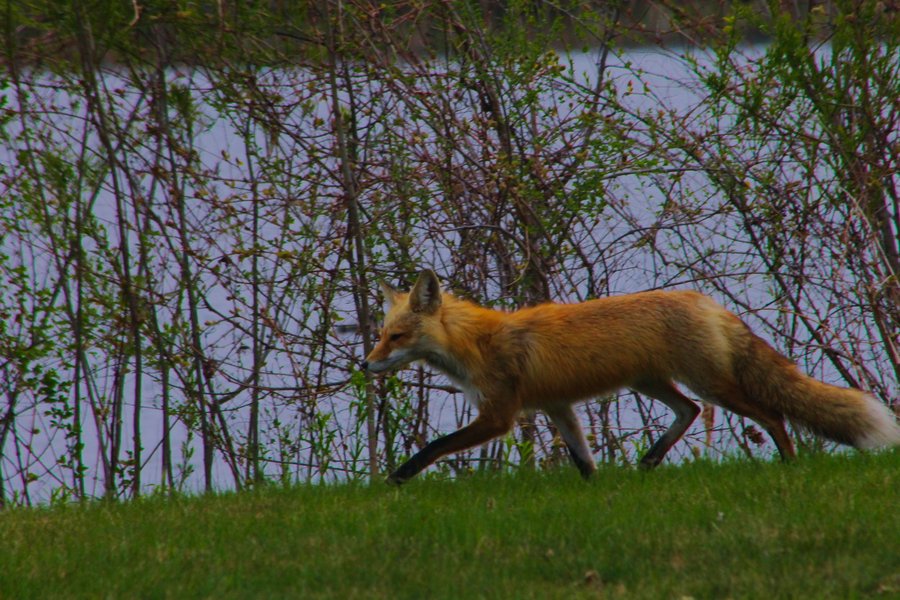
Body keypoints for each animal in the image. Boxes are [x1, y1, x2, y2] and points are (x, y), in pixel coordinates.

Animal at [362, 269, 900, 484]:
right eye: (381, 335)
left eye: (397, 336)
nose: (364, 365)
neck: (476, 344)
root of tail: (705, 300)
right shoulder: (558, 406)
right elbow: (582, 462)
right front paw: (596, 491)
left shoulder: (500, 416)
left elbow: (435, 445)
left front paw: (397, 477)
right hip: (653, 384)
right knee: (690, 411)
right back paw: (650, 460)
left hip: (712, 385)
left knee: (772, 416)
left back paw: (790, 465)